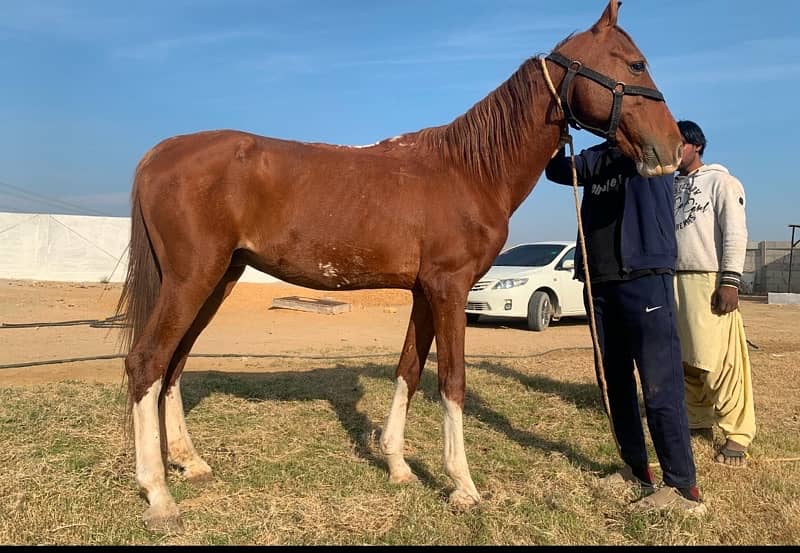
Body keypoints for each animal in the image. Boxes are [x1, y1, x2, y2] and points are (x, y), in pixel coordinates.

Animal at [117, 2, 680, 532]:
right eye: (636, 63)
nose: (672, 148)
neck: (469, 170)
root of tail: (158, 153)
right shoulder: (450, 288)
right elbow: (451, 381)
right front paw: (463, 486)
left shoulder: (424, 292)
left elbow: (408, 369)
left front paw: (398, 467)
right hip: (192, 279)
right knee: (147, 362)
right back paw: (158, 495)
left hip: (218, 280)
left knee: (174, 364)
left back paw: (189, 463)